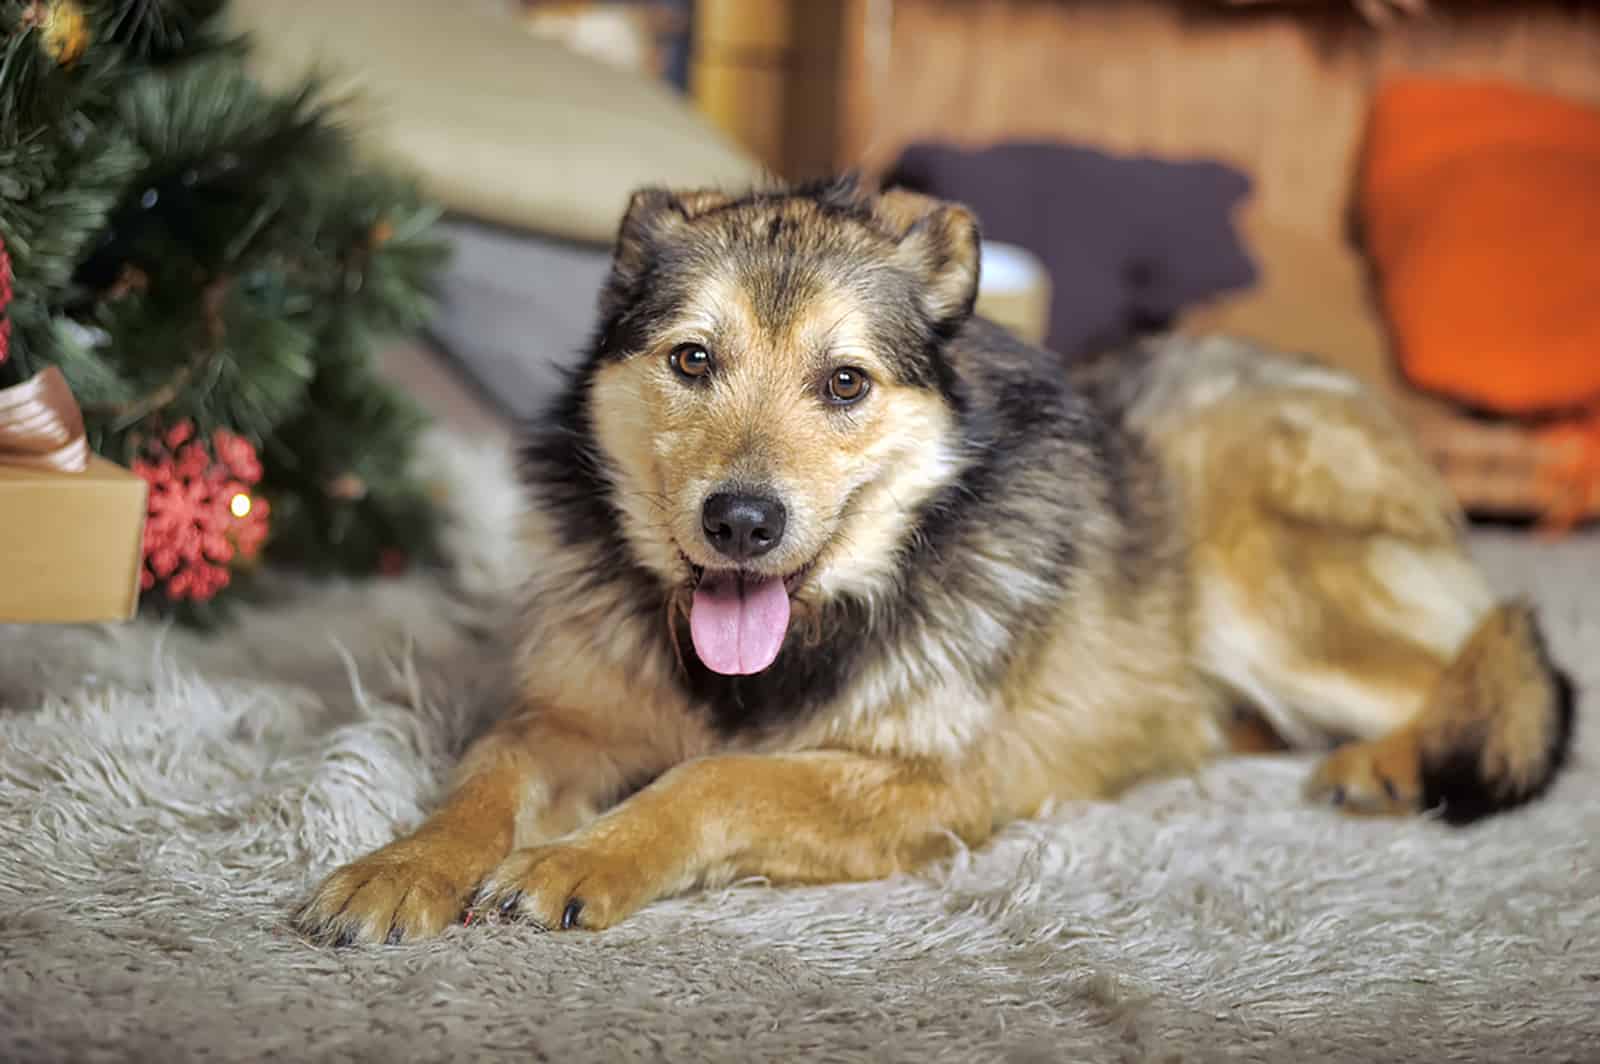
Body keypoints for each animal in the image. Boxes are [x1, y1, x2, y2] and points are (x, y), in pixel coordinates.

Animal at [291, 176, 1574, 947]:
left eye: (845, 381)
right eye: (692, 359)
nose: (741, 521)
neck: (775, 657)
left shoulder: (938, 782)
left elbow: (714, 781)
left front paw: (582, 856)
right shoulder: (567, 716)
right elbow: (485, 778)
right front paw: (403, 865)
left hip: (1263, 590)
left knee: (1487, 660)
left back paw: (1385, 762)